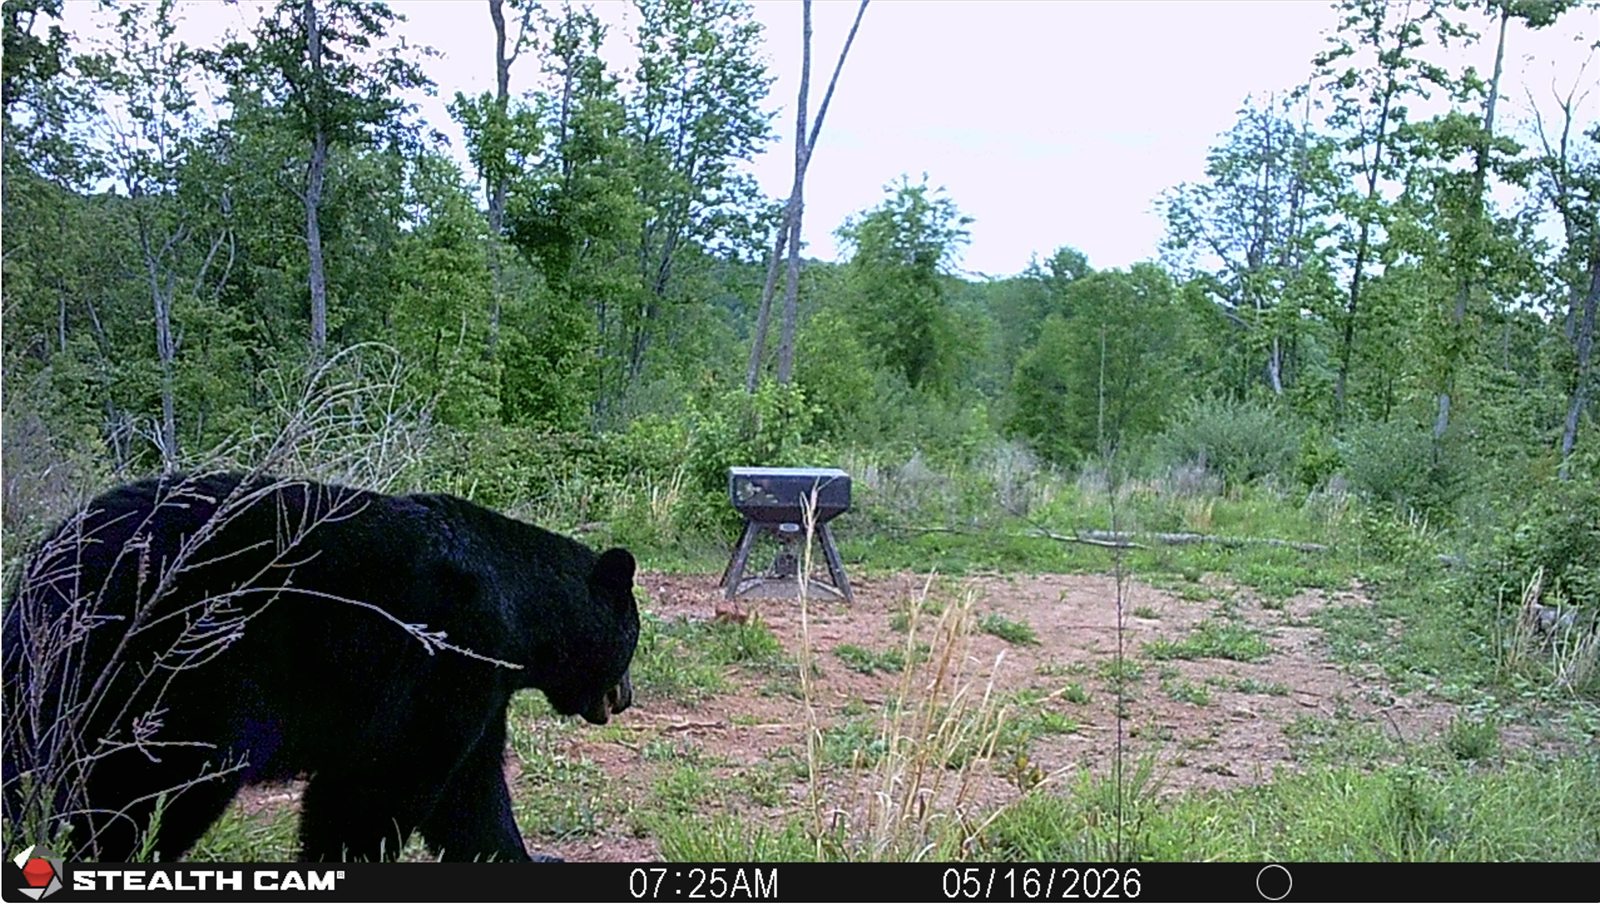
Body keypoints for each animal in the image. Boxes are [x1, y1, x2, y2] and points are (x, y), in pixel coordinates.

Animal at [1, 471, 640, 863]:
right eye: (634, 639)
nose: (626, 696)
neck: (520, 613)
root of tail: (40, 575)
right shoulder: (448, 662)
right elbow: (379, 786)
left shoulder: (479, 687)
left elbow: (470, 794)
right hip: (176, 679)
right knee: (142, 795)